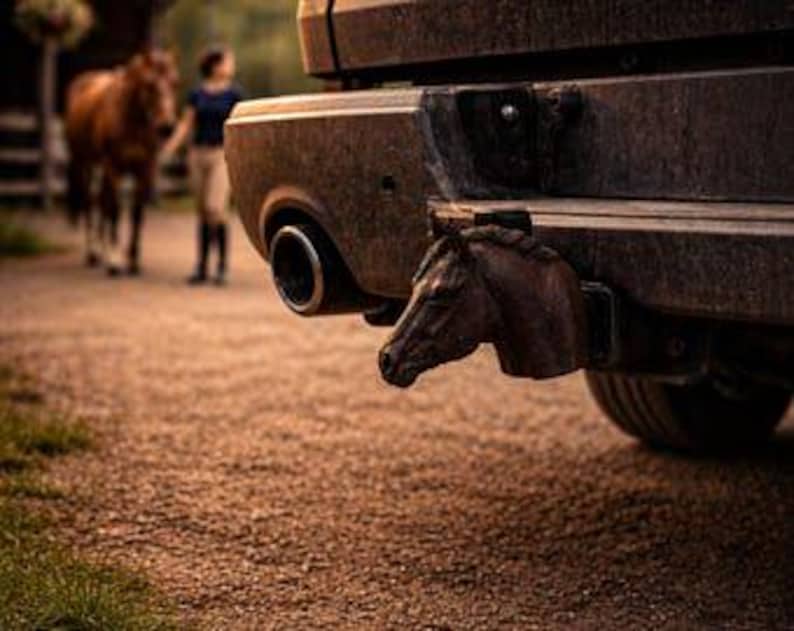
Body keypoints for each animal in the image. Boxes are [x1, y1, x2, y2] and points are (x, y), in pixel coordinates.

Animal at [65, 49, 179, 275]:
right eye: (149, 84)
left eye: (175, 82)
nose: (167, 127)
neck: (133, 121)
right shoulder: (113, 166)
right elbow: (116, 208)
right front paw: (115, 261)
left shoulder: (145, 168)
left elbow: (137, 212)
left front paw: (133, 261)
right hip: (85, 163)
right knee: (90, 202)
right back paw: (93, 253)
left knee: (101, 200)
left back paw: (101, 249)